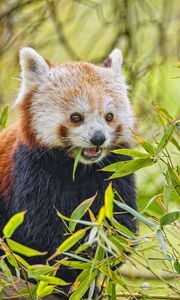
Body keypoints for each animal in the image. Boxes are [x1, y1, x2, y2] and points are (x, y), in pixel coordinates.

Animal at [0, 48, 136, 296]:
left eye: (109, 116)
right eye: (76, 117)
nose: (98, 138)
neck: (78, 167)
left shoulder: (116, 170)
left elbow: (120, 227)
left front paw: (92, 261)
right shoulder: (33, 170)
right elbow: (40, 236)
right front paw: (68, 275)